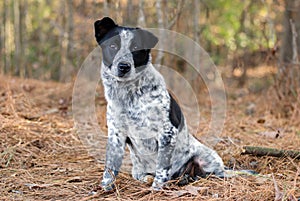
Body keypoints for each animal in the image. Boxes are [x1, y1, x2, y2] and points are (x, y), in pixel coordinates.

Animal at [94, 16, 225, 190]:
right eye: (113, 46)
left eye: (136, 47)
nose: (124, 66)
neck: (129, 97)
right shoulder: (116, 134)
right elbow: (110, 166)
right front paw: (105, 187)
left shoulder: (167, 132)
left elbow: (162, 167)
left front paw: (157, 189)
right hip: (138, 170)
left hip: (207, 158)